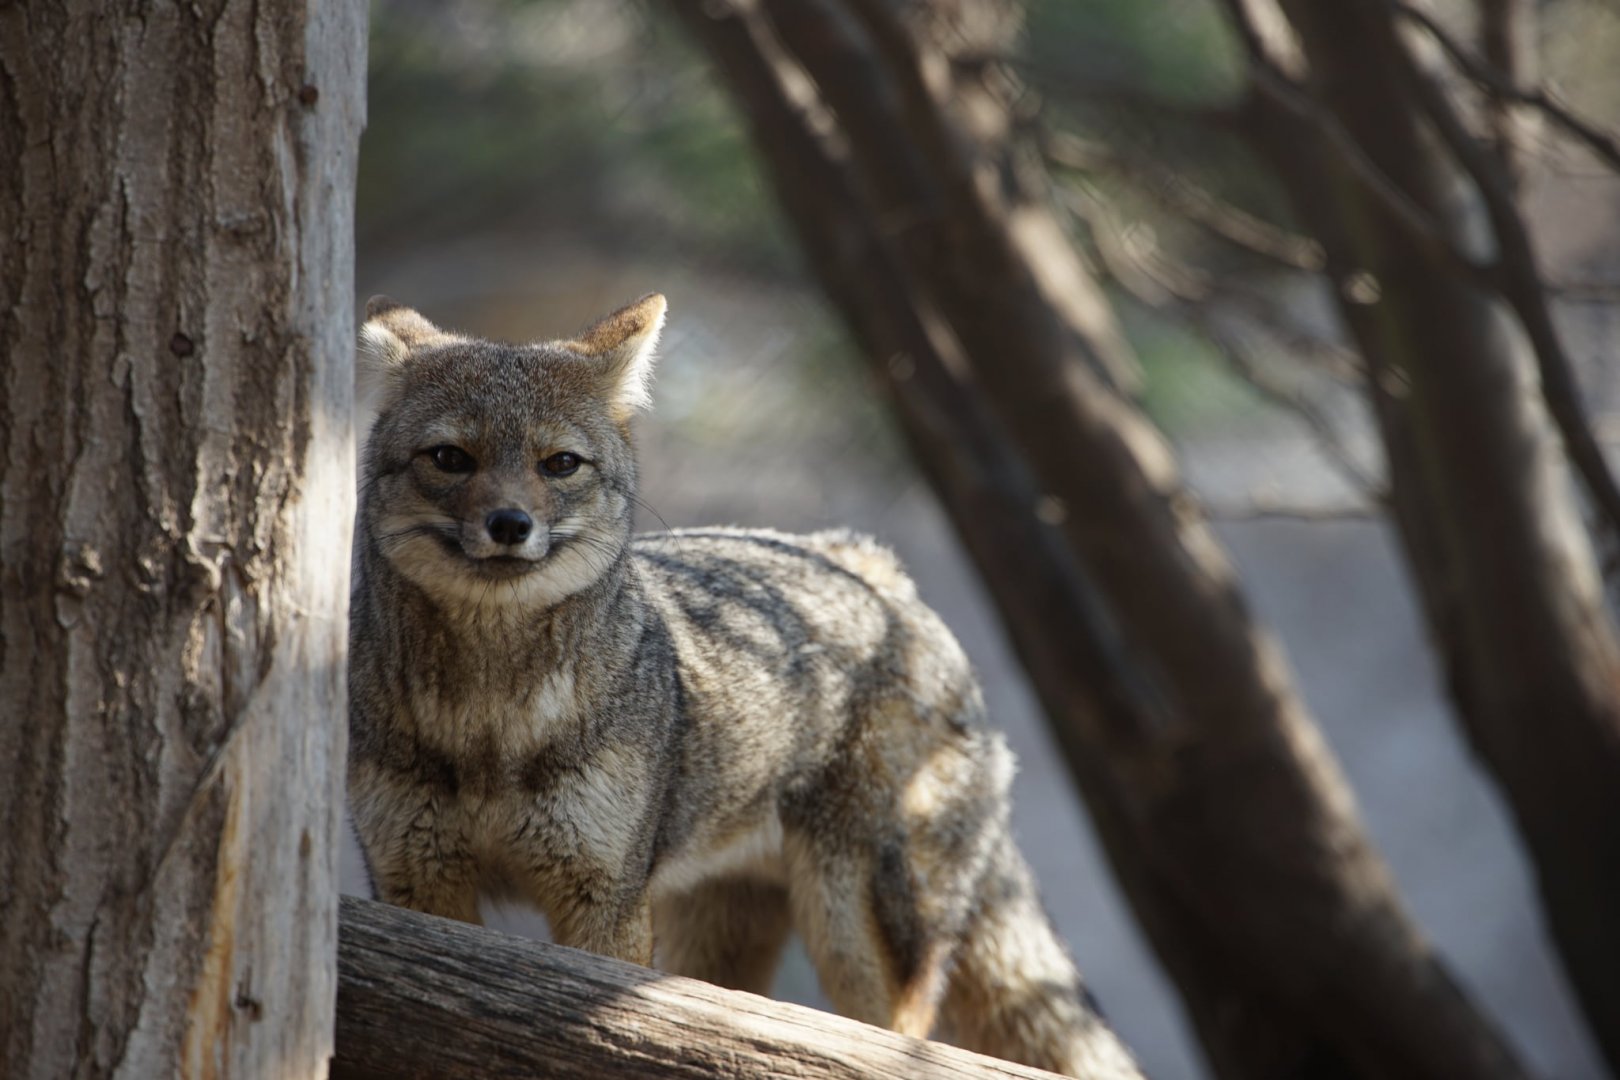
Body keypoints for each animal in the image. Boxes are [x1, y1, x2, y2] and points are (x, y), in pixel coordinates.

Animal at [347, 292, 1141, 1078]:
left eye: (559, 464)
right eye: (451, 458)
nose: (509, 524)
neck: (490, 724)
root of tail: (885, 577)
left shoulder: (603, 905)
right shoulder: (415, 889)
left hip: (854, 938)